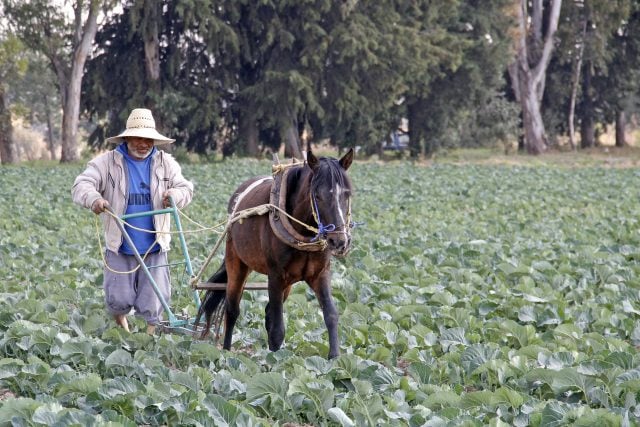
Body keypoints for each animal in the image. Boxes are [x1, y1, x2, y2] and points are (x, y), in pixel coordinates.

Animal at [196, 149, 356, 360]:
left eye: (347, 194)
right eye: (317, 195)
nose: (339, 241)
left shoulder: (320, 274)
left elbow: (330, 315)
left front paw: (334, 358)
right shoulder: (275, 275)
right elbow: (278, 329)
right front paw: (277, 363)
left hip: (287, 283)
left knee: (268, 313)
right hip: (237, 262)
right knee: (232, 309)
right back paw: (227, 352)